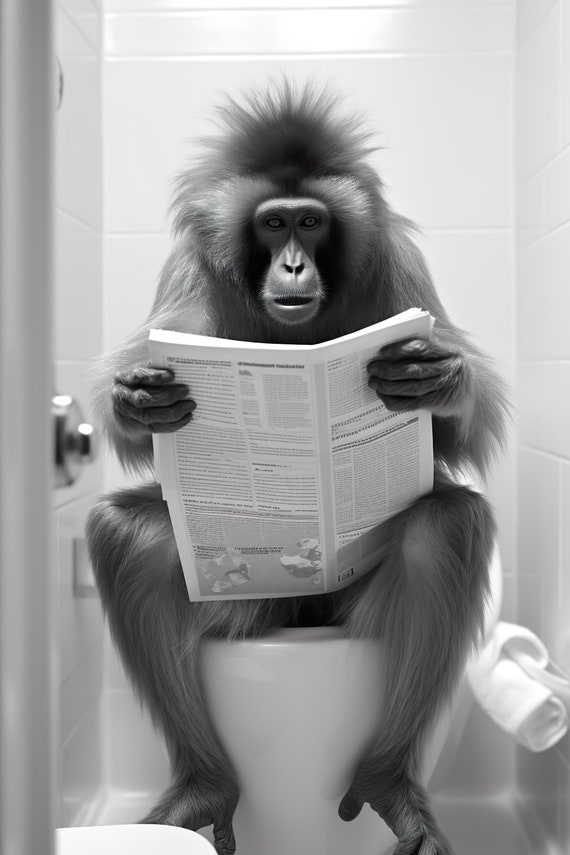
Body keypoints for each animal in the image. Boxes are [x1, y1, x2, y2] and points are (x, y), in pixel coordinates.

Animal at [86, 82, 509, 855]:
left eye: (311, 224)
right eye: (274, 223)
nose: (291, 265)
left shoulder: (396, 263)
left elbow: (453, 441)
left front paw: (438, 378)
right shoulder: (191, 273)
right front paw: (138, 396)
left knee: (446, 525)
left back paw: (387, 781)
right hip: (252, 605)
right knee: (132, 538)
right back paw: (204, 786)